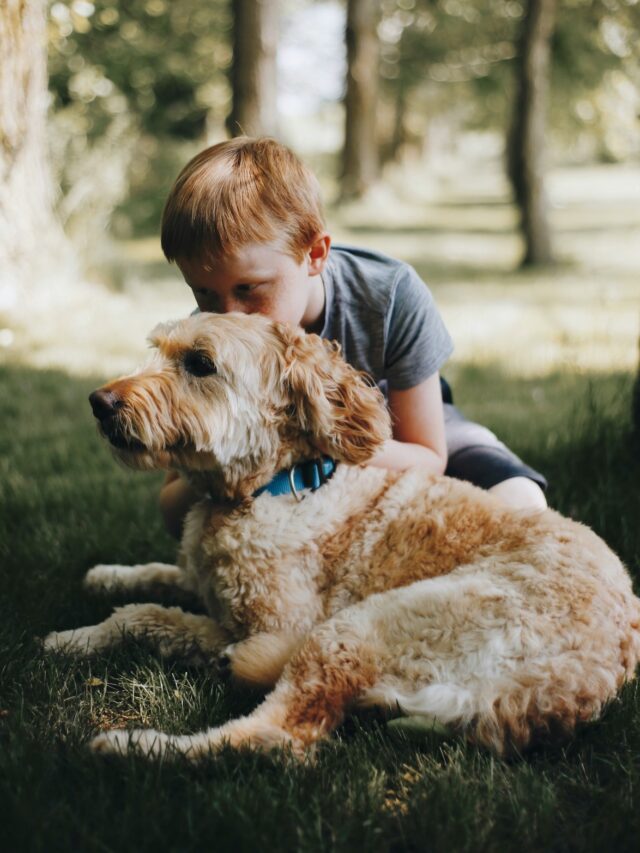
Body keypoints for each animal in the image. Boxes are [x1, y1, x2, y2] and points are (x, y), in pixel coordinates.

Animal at [45, 312, 640, 760]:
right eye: (161, 349)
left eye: (200, 364)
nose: (99, 402)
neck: (275, 485)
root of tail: (575, 684)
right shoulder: (204, 583)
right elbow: (151, 588)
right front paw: (103, 585)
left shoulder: (277, 624)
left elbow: (151, 616)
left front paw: (74, 638)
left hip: (358, 628)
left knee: (277, 738)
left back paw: (136, 747)